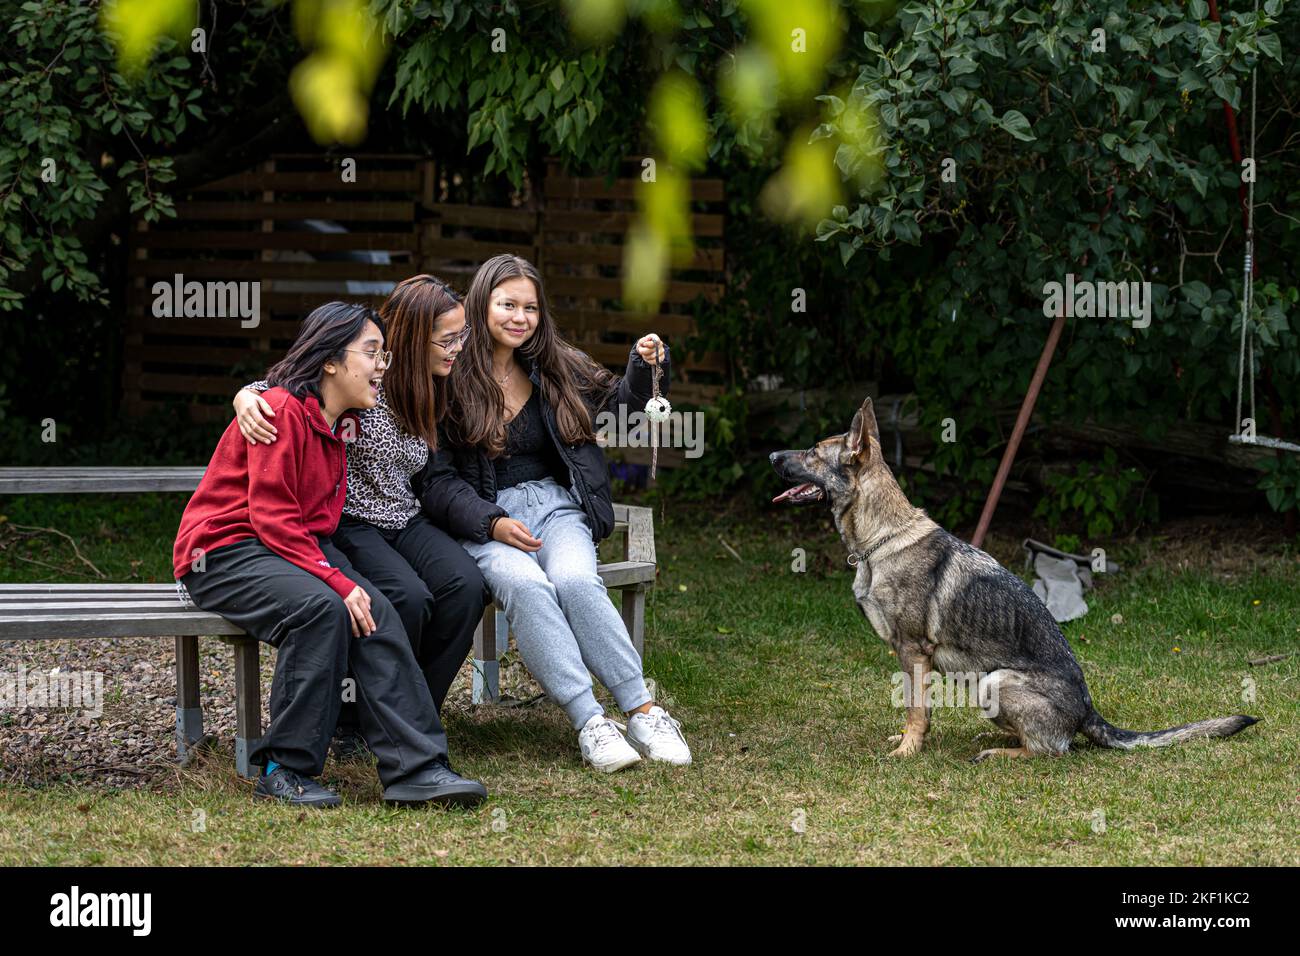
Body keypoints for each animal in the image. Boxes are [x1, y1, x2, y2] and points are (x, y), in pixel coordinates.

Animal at [769, 395, 1258, 764]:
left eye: (813, 451)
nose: (771, 455)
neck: (880, 539)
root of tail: (1088, 711)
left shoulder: (913, 652)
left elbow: (916, 711)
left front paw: (908, 751)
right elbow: (914, 709)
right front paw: (905, 741)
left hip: (993, 681)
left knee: (1053, 751)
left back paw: (1002, 754)